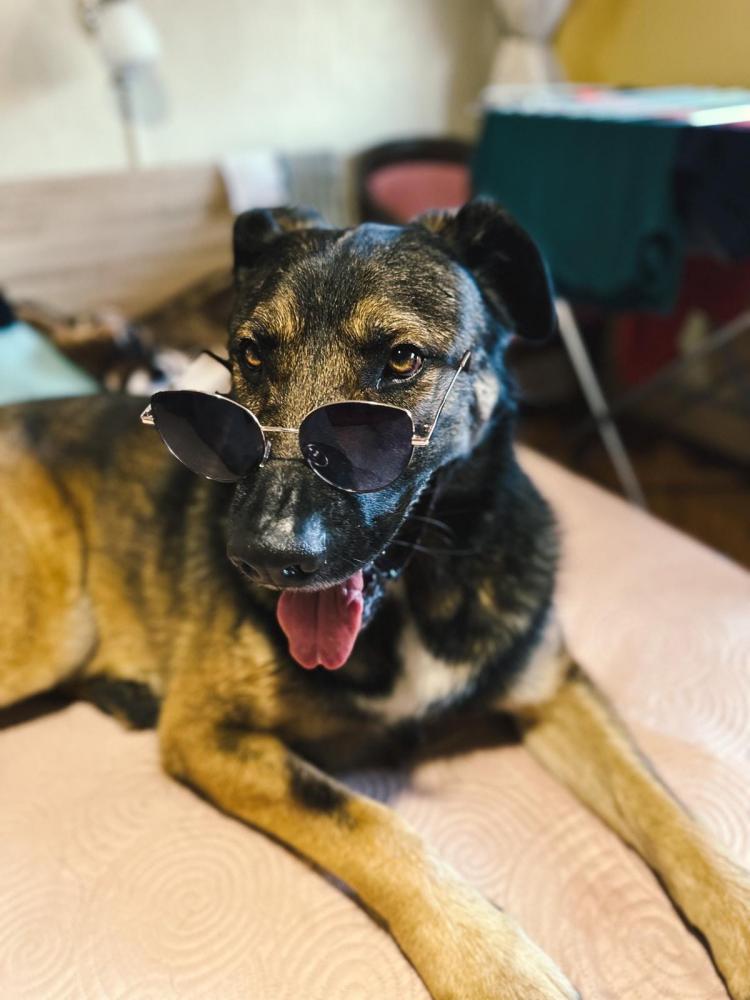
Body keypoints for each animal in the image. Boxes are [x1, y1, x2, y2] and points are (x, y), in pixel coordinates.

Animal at [1, 201, 748, 999]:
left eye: (400, 361)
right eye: (251, 355)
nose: (262, 557)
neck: (414, 593)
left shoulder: (557, 691)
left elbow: (671, 813)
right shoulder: (208, 734)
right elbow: (371, 822)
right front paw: (493, 961)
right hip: (53, 629)